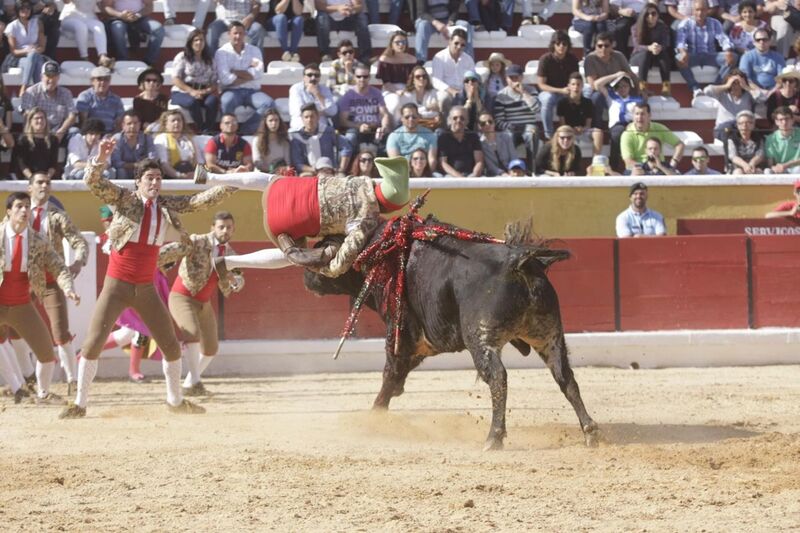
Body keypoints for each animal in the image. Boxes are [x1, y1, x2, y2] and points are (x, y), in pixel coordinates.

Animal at [304, 217, 596, 448]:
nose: (307, 277)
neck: (381, 250)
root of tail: (519, 262)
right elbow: (397, 377)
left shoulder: (400, 335)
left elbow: (390, 374)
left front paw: (374, 418)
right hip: (549, 335)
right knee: (564, 376)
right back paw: (590, 431)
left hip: (480, 336)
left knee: (498, 377)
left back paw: (493, 438)